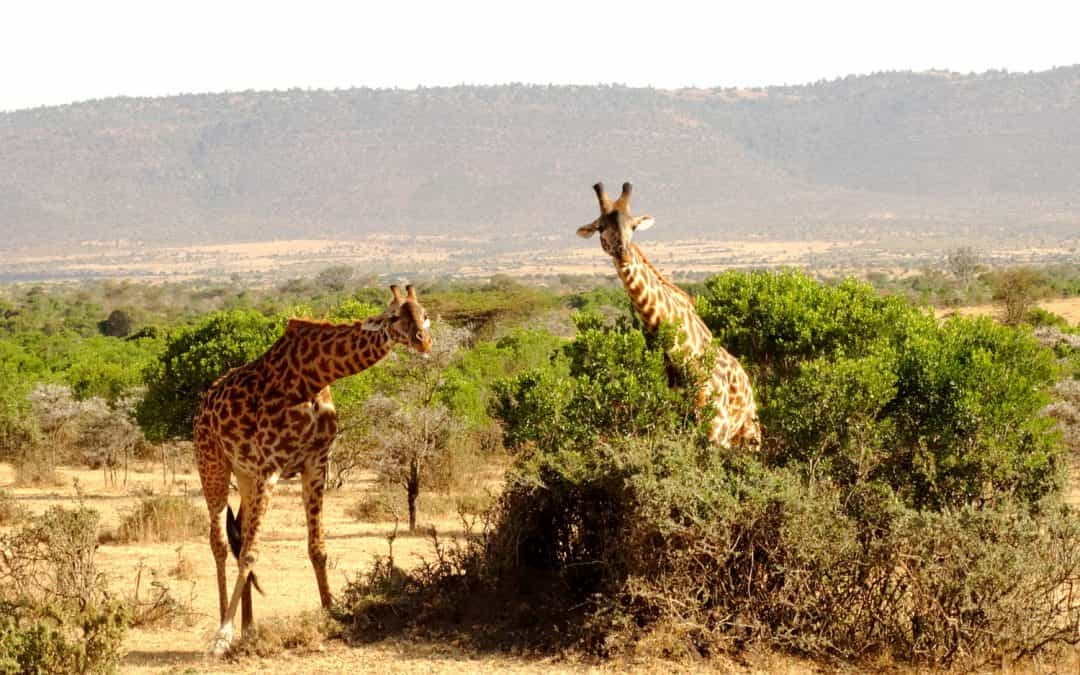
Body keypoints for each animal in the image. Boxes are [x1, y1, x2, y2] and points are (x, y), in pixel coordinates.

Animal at [192, 282, 432, 652]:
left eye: (425, 314)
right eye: (394, 317)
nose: (423, 340)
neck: (313, 377)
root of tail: (204, 403)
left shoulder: (316, 461)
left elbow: (317, 547)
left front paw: (333, 613)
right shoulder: (271, 465)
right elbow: (251, 553)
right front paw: (222, 637)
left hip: (244, 473)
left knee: (238, 534)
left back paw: (249, 627)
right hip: (212, 462)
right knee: (219, 542)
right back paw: (226, 628)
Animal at [574, 181, 760, 449]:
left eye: (633, 226)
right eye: (601, 227)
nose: (623, 253)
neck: (682, 356)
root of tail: (748, 383)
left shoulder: (716, 432)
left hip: (750, 435)